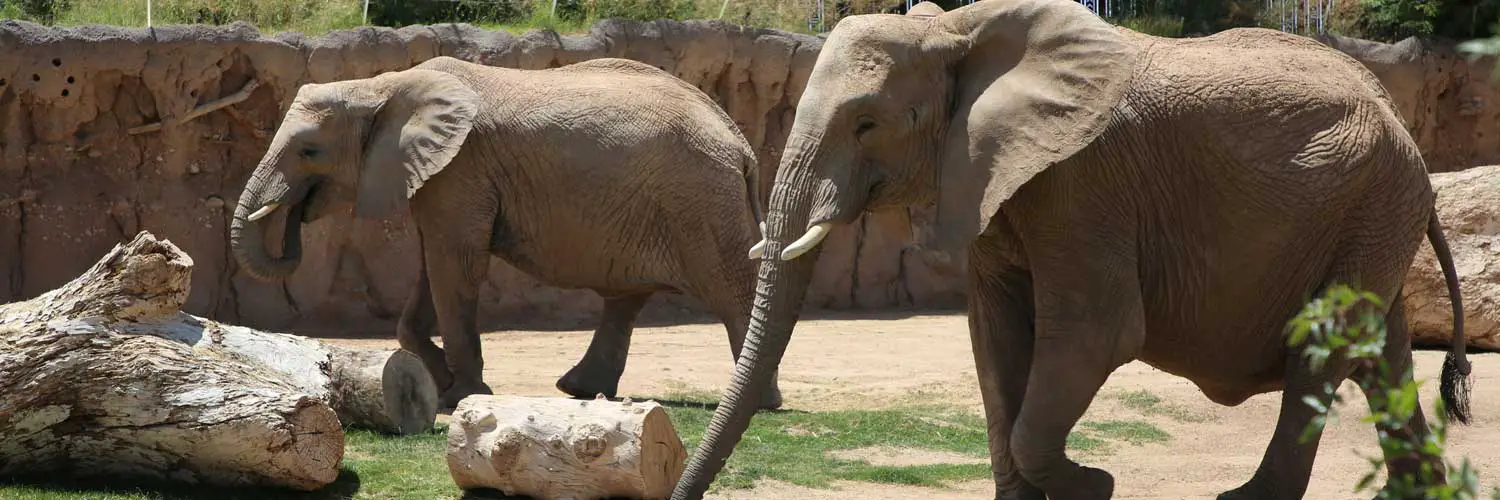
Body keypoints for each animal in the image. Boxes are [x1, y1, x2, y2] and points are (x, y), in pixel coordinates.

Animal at [231, 56, 786, 411]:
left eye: (309, 151)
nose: (294, 216)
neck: (381, 85)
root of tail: (741, 143)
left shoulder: (461, 168)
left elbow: (455, 264)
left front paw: (461, 396)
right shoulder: (440, 177)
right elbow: (431, 266)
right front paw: (443, 382)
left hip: (702, 201)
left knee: (733, 292)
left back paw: (759, 402)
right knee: (626, 298)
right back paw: (579, 391)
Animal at [678, 0, 1476, 498]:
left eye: (867, 124)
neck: (960, 31)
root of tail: (1401, 121)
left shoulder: (1083, 181)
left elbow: (1098, 331)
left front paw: (1097, 485)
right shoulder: (991, 177)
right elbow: (995, 337)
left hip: (1372, 202)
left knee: (1327, 352)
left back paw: (1242, 499)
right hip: (1375, 217)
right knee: (1381, 359)